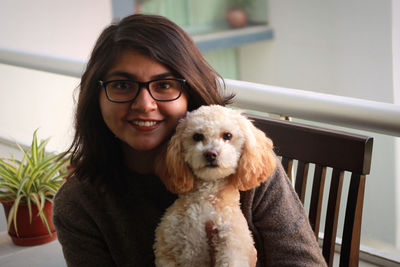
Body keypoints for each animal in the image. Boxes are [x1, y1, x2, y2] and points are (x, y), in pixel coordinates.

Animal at [155, 105, 276, 266]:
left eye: (228, 135)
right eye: (197, 136)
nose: (210, 154)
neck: (206, 195)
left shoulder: (232, 244)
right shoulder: (167, 246)